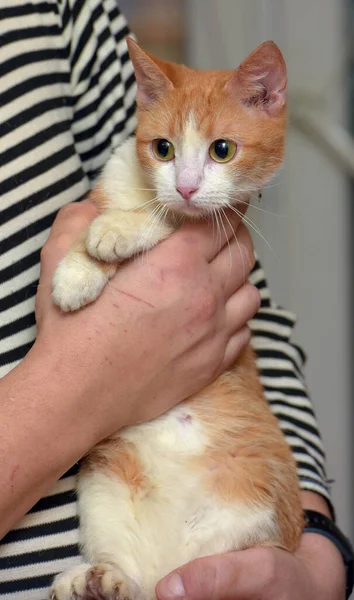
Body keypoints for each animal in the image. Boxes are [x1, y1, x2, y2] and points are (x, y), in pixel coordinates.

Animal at [49, 38, 304, 600]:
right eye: (162, 149)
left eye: (222, 150)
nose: (185, 186)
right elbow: (104, 213)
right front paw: (78, 270)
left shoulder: (226, 218)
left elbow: (167, 220)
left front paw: (120, 231)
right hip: (102, 484)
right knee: (131, 579)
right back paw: (99, 579)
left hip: (255, 518)